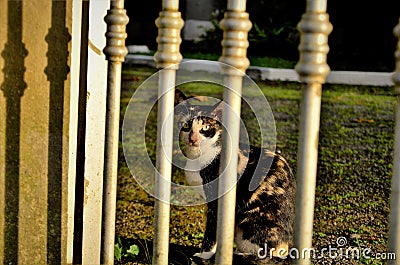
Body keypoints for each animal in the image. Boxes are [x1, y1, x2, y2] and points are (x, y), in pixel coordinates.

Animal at [173, 89, 296, 260]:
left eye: (205, 127)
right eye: (186, 125)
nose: (193, 139)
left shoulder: (216, 200)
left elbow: (211, 230)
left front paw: (205, 254)